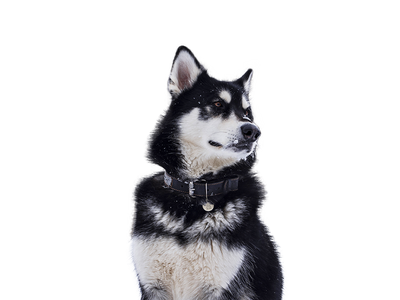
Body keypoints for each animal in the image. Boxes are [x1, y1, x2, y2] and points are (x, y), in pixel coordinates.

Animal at [125, 44, 284, 300]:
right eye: (218, 104)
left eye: (247, 112)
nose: (253, 131)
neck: (195, 192)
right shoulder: (154, 285)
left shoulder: (220, 287)